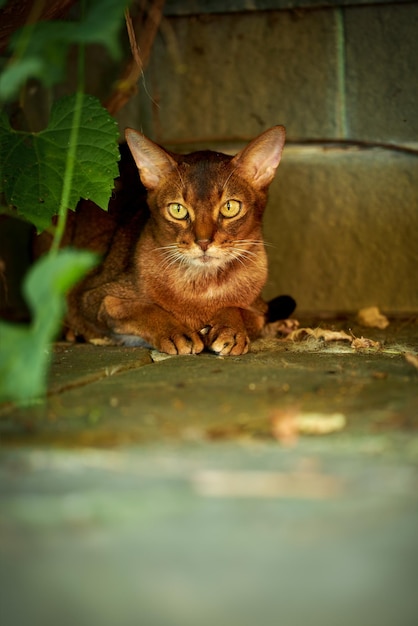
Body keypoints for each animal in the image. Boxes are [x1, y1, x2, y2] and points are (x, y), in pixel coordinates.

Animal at [62, 124, 294, 354]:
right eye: (177, 209)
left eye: (230, 207)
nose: (203, 242)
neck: (202, 290)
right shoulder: (93, 298)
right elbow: (142, 308)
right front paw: (177, 332)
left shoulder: (258, 308)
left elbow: (240, 310)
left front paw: (231, 330)